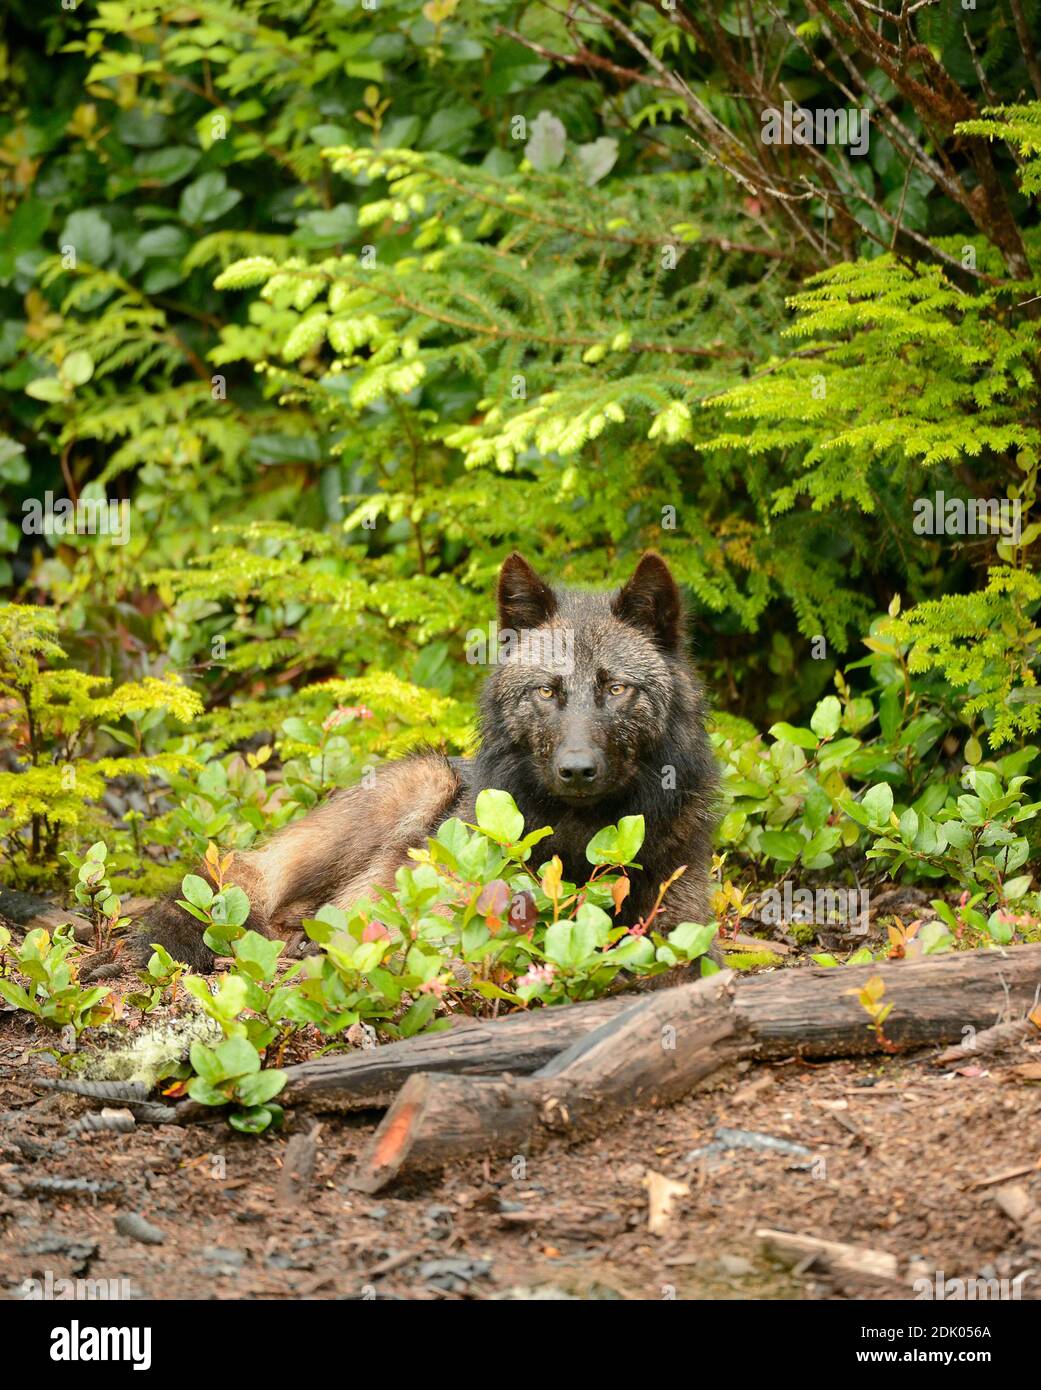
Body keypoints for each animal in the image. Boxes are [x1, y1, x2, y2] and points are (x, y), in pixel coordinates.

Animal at [95, 553, 717, 978]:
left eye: (615, 689)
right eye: (547, 692)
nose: (577, 770)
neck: (581, 835)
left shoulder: (678, 925)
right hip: (418, 786)